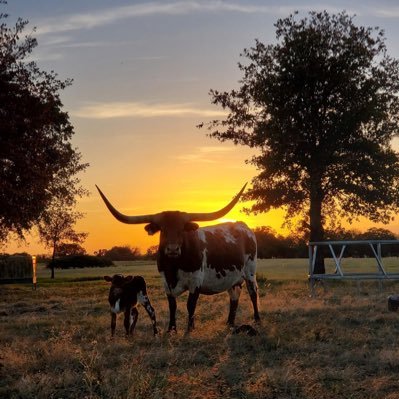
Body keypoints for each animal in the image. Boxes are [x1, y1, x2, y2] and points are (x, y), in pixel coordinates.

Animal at [95, 185, 260, 334]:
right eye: (162, 229)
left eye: (182, 229)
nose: (173, 249)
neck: (173, 267)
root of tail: (243, 226)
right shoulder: (166, 283)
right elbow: (172, 305)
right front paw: (171, 329)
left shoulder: (195, 281)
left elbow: (190, 305)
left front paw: (189, 329)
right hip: (234, 280)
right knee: (234, 297)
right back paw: (230, 323)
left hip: (250, 272)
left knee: (253, 293)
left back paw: (257, 320)